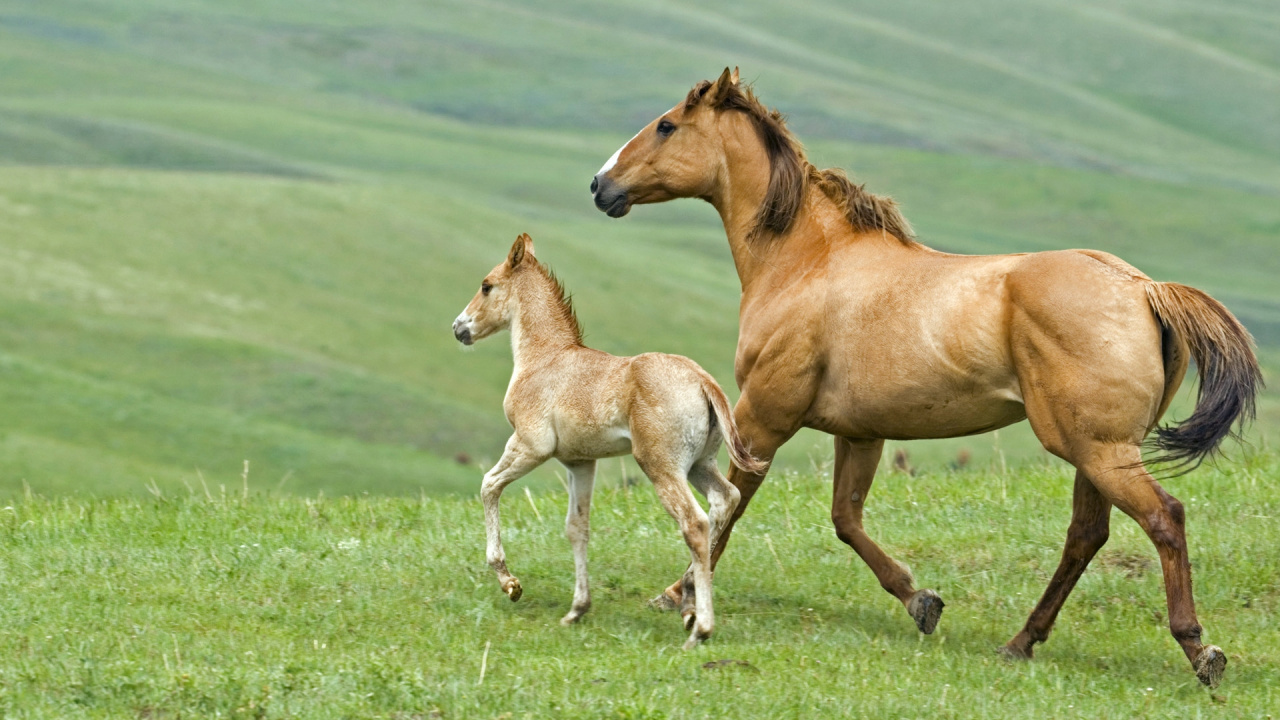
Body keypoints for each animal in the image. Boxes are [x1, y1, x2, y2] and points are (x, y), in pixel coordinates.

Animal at [452, 233, 765, 648]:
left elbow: (488, 486)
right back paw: (687, 603)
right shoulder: (580, 462)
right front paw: (576, 610)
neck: (545, 359)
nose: (459, 328)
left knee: (695, 523)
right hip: (700, 465)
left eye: (487, 285)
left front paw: (510, 583)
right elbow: (577, 528)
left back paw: (700, 628)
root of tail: (703, 381)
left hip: (661, 466)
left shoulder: (530, 446)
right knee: (725, 499)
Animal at [588, 68, 1261, 687]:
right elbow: (845, 520)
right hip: (1095, 449)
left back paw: (1199, 650)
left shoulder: (763, 416)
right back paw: (1021, 642)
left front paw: (677, 596)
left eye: (667, 125)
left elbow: (730, 505)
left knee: (1163, 518)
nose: (600, 185)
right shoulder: (860, 433)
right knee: (1086, 535)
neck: (805, 261)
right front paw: (921, 602)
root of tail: (1143, 288)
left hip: (1097, 449)